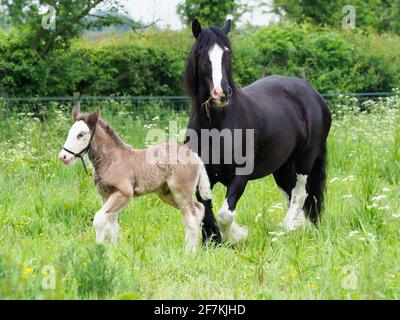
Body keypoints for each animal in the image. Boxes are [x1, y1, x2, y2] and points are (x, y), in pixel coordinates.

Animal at [58, 107, 212, 252]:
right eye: (70, 132)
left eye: (81, 134)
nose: (63, 156)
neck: (111, 159)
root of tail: (195, 156)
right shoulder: (105, 195)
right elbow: (112, 225)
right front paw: (113, 252)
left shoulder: (124, 193)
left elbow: (100, 219)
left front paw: (99, 250)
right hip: (167, 194)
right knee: (198, 209)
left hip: (181, 192)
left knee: (191, 218)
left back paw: (189, 253)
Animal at [184, 20, 332, 244]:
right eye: (201, 53)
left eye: (227, 53)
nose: (221, 93)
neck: (216, 125)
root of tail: (313, 94)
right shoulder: (204, 176)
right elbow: (206, 211)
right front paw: (213, 242)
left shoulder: (240, 176)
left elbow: (225, 214)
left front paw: (237, 236)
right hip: (282, 166)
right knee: (291, 194)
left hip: (305, 160)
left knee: (300, 194)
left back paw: (286, 228)